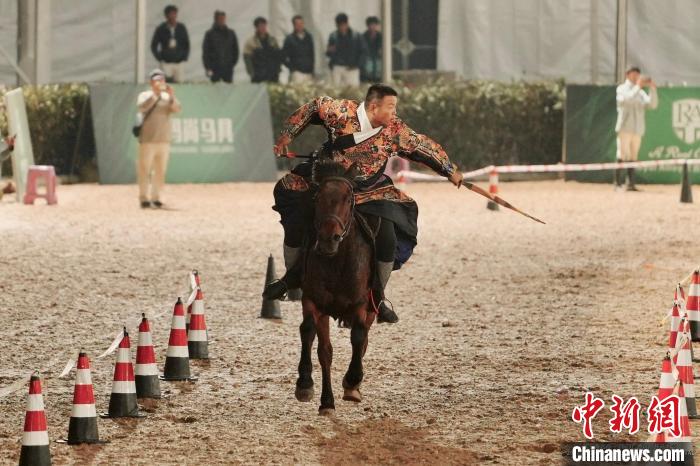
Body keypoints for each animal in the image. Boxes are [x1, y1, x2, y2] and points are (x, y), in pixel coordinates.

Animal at [294, 160, 378, 415]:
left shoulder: (362, 304)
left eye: (349, 199)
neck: (336, 262)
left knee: (364, 338)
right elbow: (311, 335)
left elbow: (359, 337)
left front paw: (352, 380)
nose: (328, 238)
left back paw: (352, 386)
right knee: (325, 350)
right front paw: (305, 385)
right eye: (317, 198)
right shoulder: (313, 301)